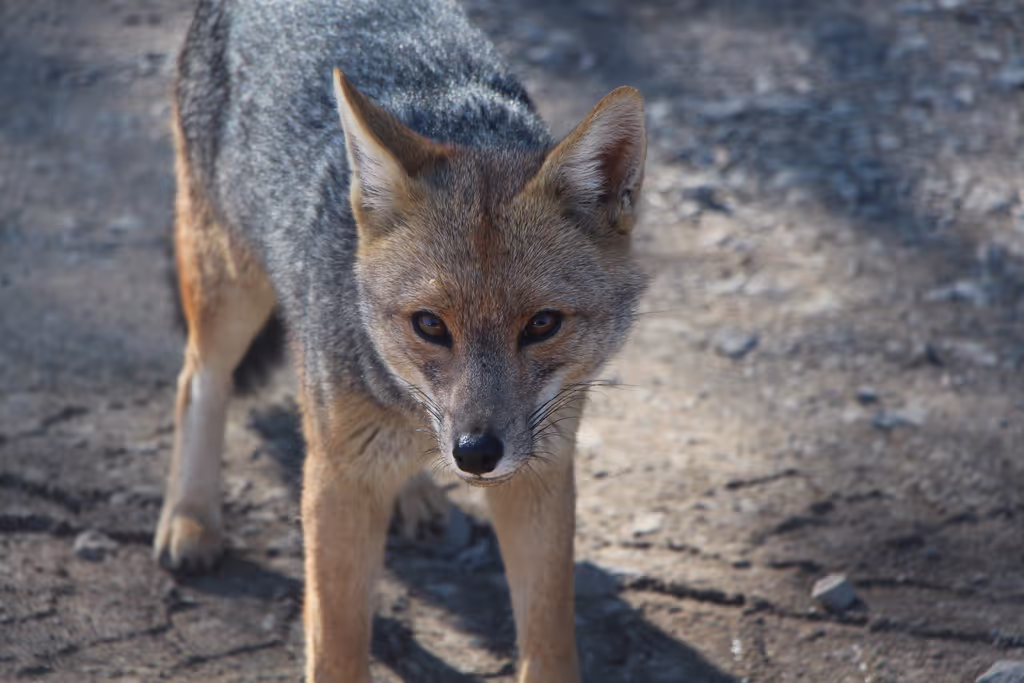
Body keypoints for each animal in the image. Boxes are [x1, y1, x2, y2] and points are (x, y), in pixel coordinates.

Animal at [154, 0, 648, 680]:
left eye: (542, 325)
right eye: (430, 326)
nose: (475, 453)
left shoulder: (538, 473)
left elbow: (549, 641)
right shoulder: (335, 480)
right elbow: (336, 648)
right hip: (229, 286)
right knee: (197, 378)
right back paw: (191, 519)